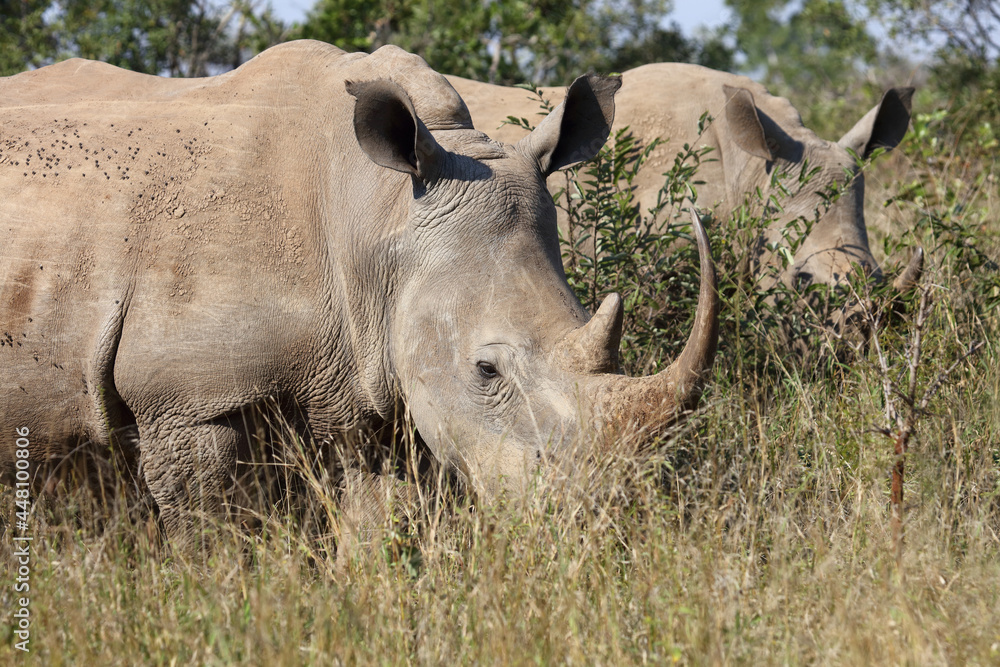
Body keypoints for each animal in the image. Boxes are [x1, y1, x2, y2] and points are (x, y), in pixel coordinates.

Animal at [0, 41, 718, 548]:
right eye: (486, 370)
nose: (598, 514)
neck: (378, 215)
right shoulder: (187, 398)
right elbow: (214, 537)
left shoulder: (370, 385)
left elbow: (379, 526)